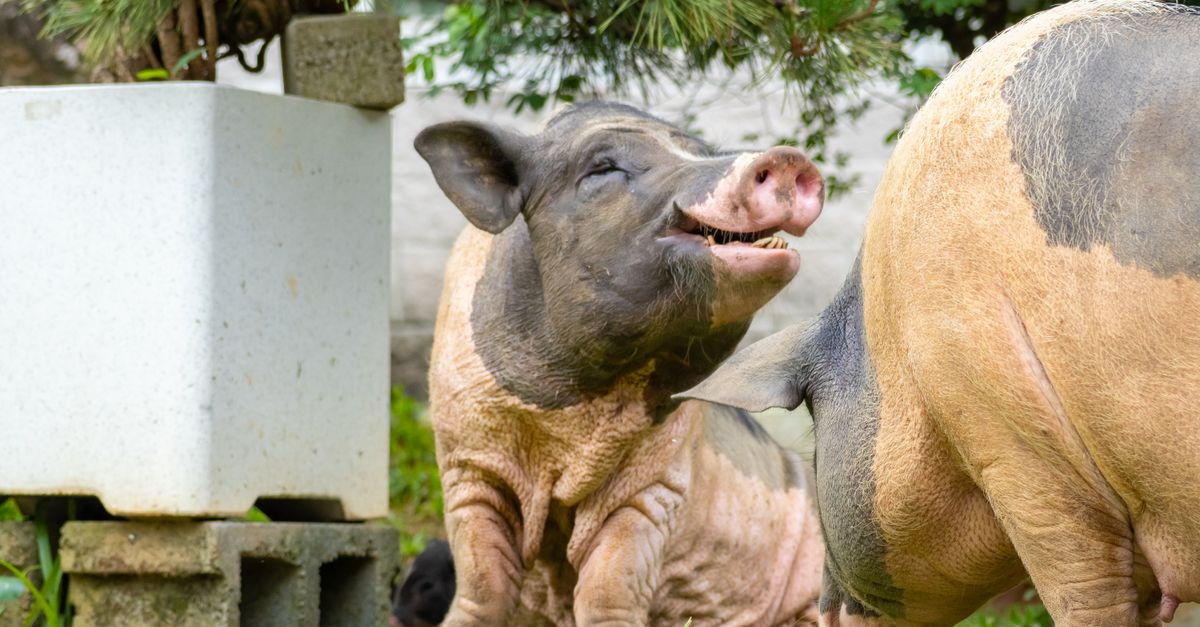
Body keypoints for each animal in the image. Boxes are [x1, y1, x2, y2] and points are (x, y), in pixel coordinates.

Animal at [414, 101, 826, 626]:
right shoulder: (467, 461)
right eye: (603, 167)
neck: (565, 425)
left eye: (702, 151)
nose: (788, 158)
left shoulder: (655, 484)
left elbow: (610, 582)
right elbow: (482, 578)